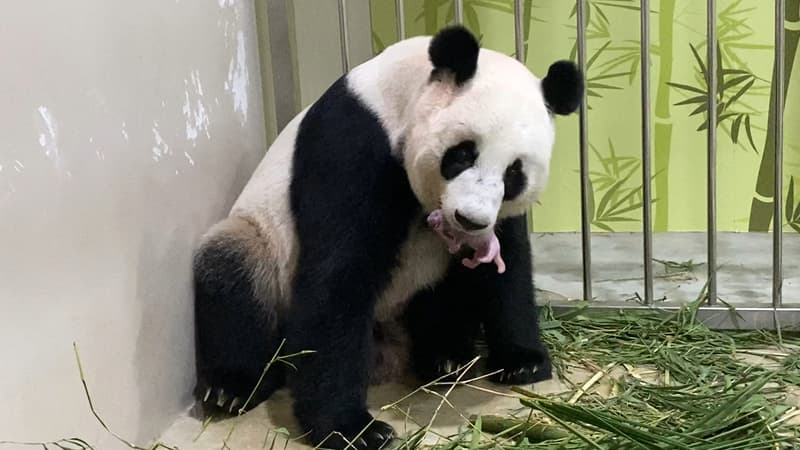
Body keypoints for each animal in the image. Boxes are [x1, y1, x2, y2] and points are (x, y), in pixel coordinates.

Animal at [194, 23, 580, 450]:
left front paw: (523, 361)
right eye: (463, 154)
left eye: (514, 174)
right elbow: (338, 275)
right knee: (233, 273)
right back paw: (232, 388)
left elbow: (507, 263)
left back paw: (445, 354)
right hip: (262, 245)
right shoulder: (353, 143)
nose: (470, 219)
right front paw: (352, 430)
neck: (399, 96)